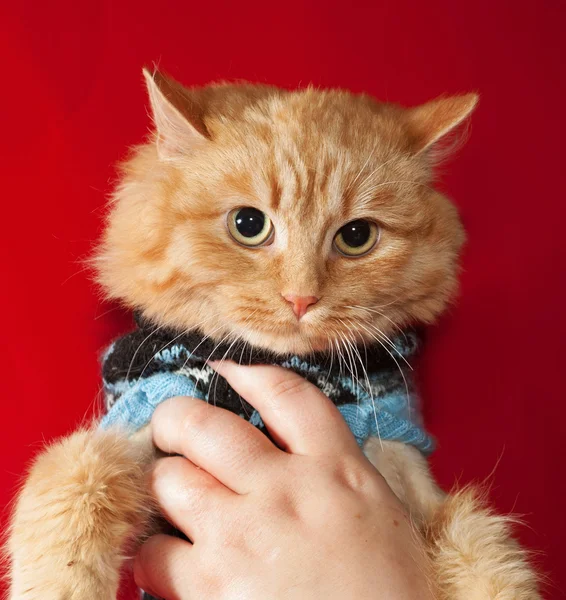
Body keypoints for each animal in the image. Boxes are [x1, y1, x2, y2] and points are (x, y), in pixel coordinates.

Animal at [5, 71, 540, 600]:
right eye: (248, 224)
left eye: (357, 236)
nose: (301, 299)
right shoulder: (139, 417)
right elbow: (70, 501)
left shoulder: (400, 455)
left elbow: (484, 556)